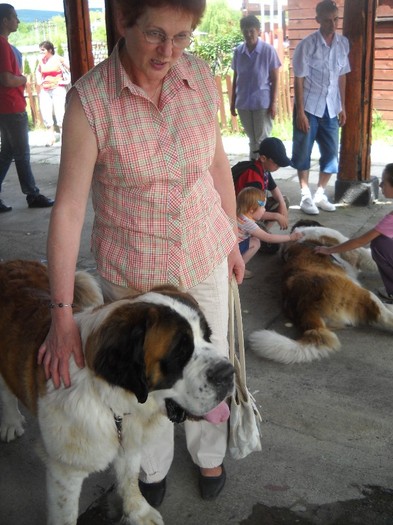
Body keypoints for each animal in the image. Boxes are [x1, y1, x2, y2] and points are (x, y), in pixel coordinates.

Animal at [0, 258, 233, 524]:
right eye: (179, 353)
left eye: (207, 336)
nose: (229, 373)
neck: (109, 398)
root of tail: (10, 262)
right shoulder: (65, 470)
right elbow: (65, 513)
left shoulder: (130, 439)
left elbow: (130, 479)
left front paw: (139, 512)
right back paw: (10, 422)